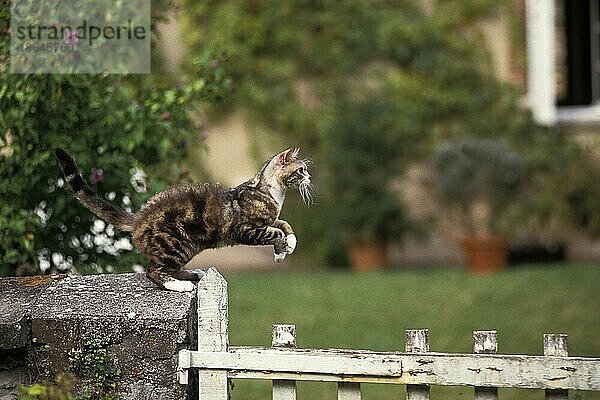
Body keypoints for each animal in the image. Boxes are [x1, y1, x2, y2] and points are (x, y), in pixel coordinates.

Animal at [55, 147, 314, 290]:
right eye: (301, 170)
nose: (310, 178)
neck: (272, 193)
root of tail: (139, 218)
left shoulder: (267, 221)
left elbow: (284, 224)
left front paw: (290, 244)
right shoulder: (246, 229)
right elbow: (276, 232)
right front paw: (280, 251)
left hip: (185, 249)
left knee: (166, 268)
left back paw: (190, 275)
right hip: (175, 244)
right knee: (153, 271)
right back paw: (180, 286)